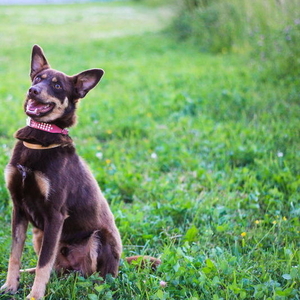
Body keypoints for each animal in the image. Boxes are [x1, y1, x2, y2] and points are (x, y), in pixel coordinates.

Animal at [0, 45, 159, 300]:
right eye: (38, 79)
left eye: (57, 86)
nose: (33, 91)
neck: (40, 138)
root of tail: (120, 264)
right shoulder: (18, 208)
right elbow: (15, 254)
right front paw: (10, 286)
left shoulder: (55, 215)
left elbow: (44, 264)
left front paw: (34, 296)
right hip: (39, 234)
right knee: (54, 268)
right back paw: (28, 272)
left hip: (96, 239)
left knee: (94, 278)